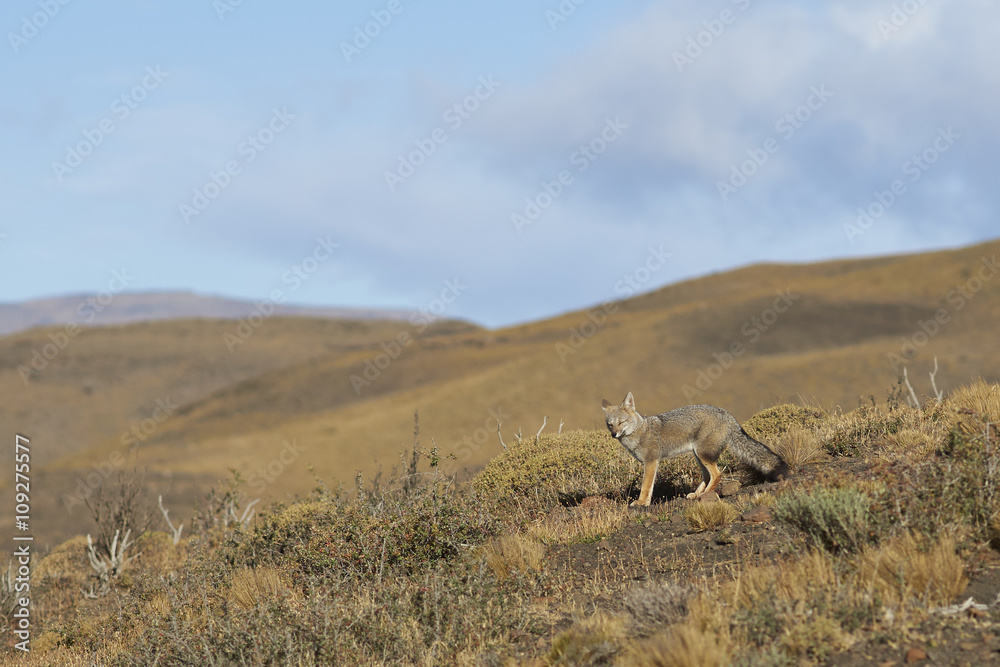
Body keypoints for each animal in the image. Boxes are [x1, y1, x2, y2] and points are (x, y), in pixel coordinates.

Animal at [602, 392, 788, 506]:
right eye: (610, 424)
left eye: (621, 422)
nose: (614, 434)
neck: (639, 431)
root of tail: (728, 414)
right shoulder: (649, 463)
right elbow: (649, 487)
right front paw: (645, 502)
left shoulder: (651, 462)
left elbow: (646, 486)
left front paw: (641, 503)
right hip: (698, 456)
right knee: (707, 476)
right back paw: (697, 494)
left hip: (703, 455)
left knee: (717, 474)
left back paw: (706, 495)